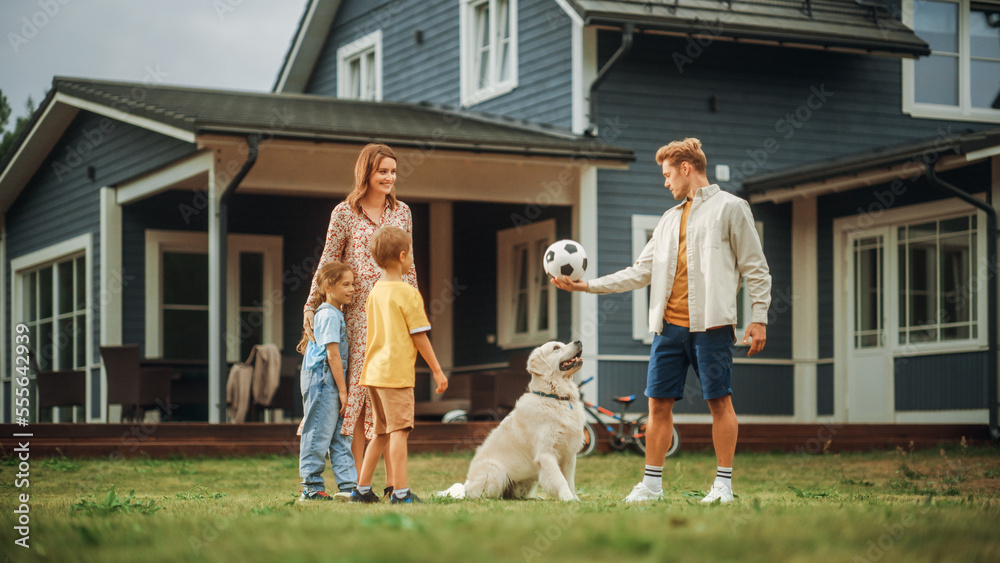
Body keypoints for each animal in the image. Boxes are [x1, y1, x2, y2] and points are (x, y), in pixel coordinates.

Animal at [444, 340, 584, 502]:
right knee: (480, 495)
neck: (555, 398)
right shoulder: (546, 454)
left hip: (528, 480)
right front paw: (568, 499)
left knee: (514, 496)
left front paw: (575, 499)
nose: (579, 341)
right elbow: (560, 480)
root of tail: (465, 487)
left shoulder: (569, 455)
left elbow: (570, 481)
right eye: (556, 347)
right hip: (496, 472)